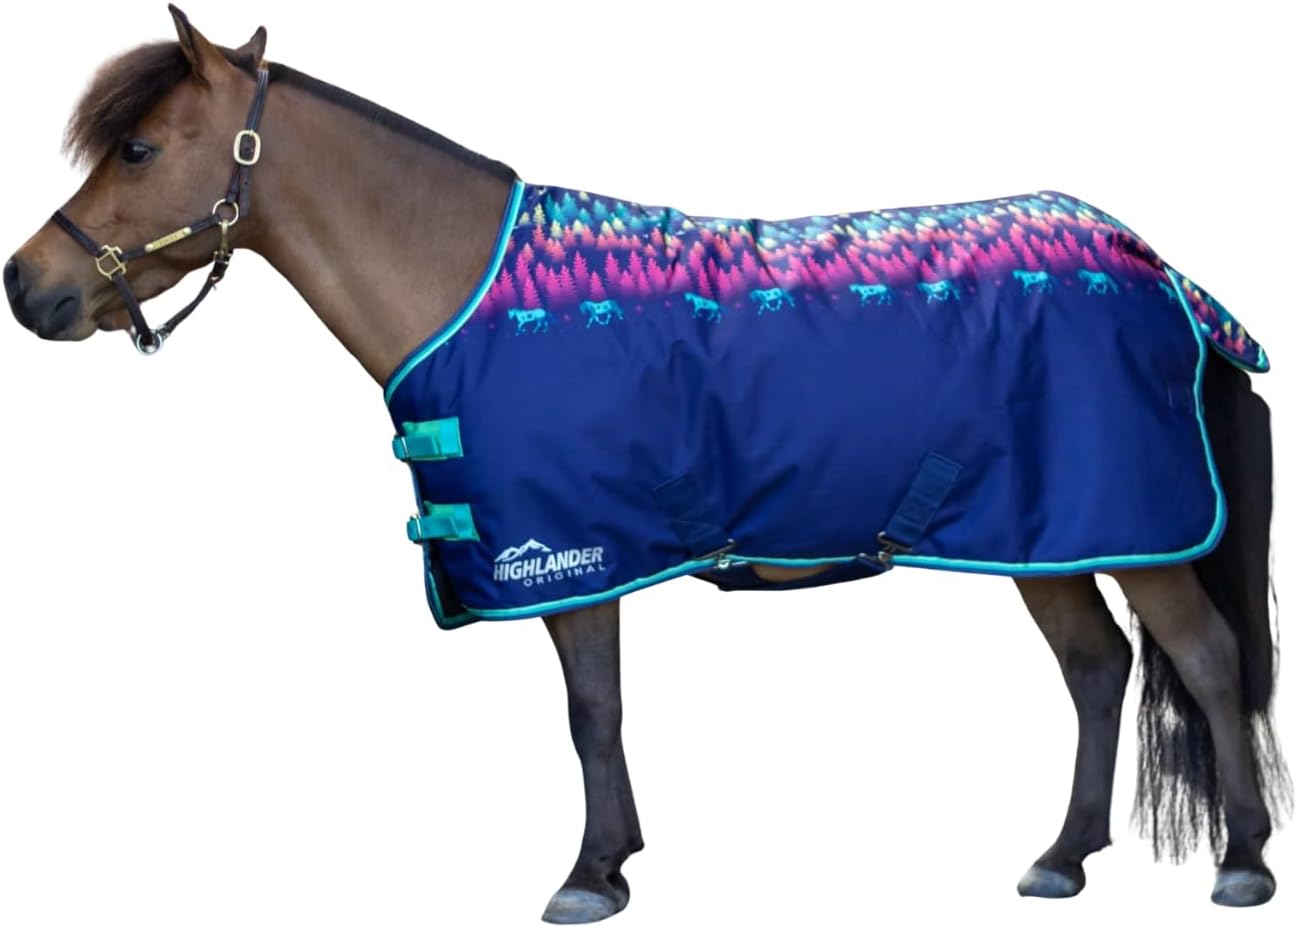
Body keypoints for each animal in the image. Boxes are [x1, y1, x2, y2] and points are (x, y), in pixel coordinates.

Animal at [4, 8, 1289, 923]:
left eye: (137, 146)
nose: (27, 286)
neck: (464, 284)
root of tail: (1155, 266)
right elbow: (599, 712)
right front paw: (612, 861)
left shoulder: (578, 555)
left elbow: (590, 710)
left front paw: (590, 874)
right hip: (1046, 537)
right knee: (1096, 669)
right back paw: (1063, 857)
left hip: (1127, 531)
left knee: (1207, 660)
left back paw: (1238, 859)